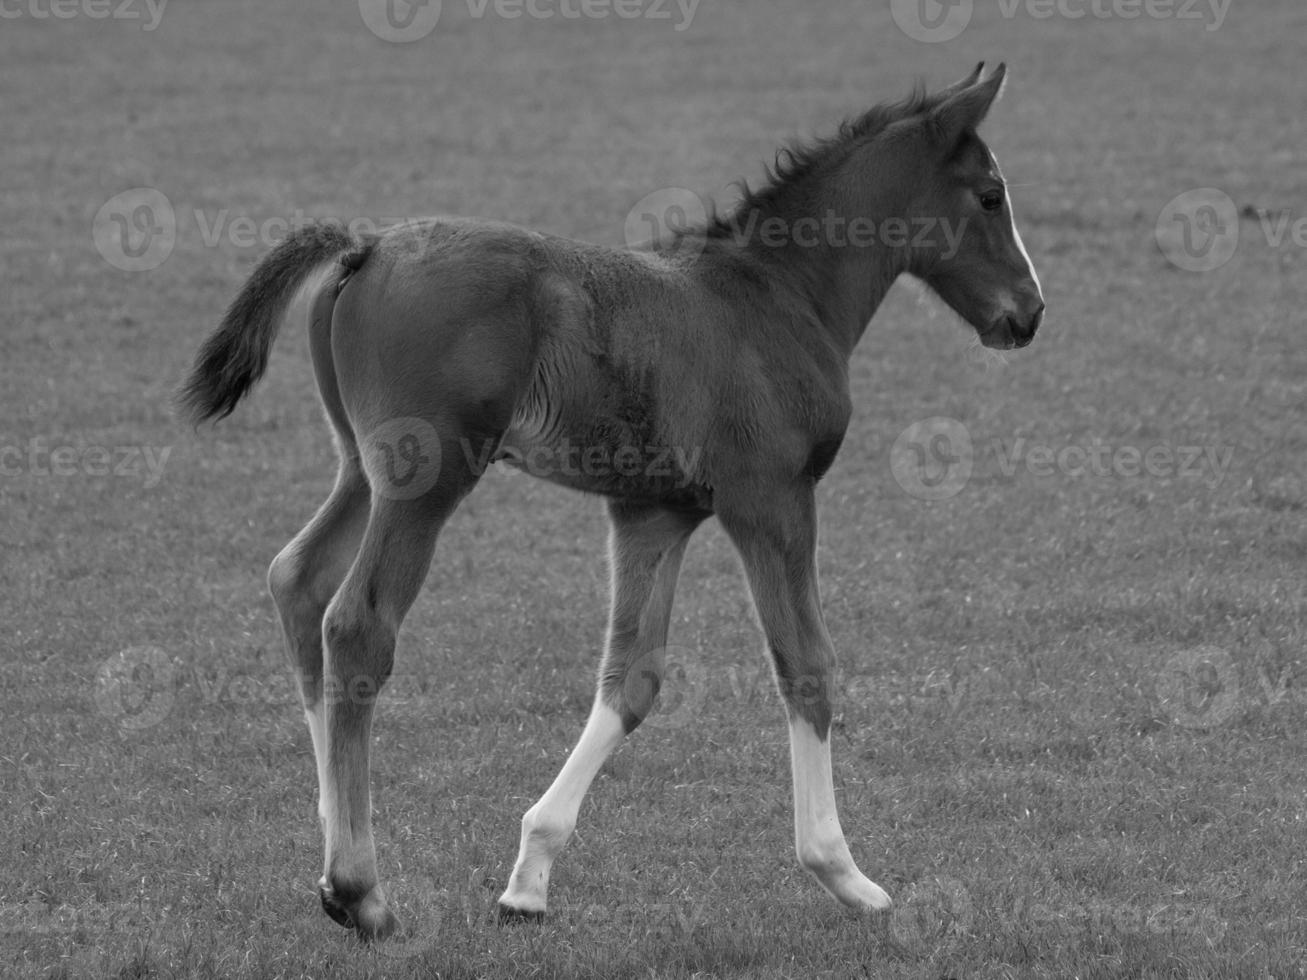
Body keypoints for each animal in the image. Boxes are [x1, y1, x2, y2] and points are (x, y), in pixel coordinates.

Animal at [181, 63, 1040, 946]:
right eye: (989, 195)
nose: (1028, 312)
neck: (774, 298)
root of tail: (368, 245)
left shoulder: (652, 513)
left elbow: (631, 679)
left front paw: (527, 879)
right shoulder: (770, 499)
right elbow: (805, 665)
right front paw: (843, 873)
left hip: (361, 467)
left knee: (297, 578)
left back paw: (330, 856)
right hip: (426, 480)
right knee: (358, 625)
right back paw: (362, 891)